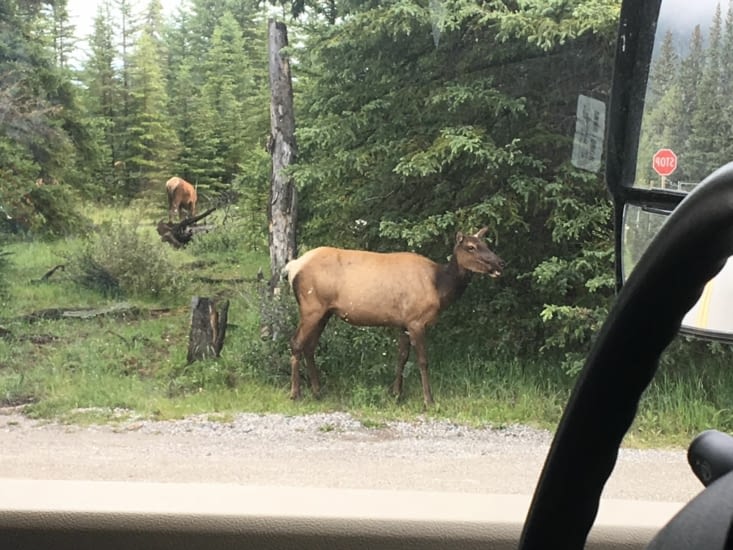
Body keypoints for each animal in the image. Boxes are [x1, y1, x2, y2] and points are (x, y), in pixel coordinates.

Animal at [283, 227, 504, 407]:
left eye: (486, 244)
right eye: (471, 247)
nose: (500, 262)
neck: (439, 287)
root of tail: (292, 267)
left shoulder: (403, 323)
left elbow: (402, 357)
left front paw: (396, 394)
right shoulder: (416, 320)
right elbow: (423, 361)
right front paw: (429, 400)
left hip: (324, 311)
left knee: (310, 346)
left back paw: (317, 391)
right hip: (311, 306)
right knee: (296, 342)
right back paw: (295, 393)